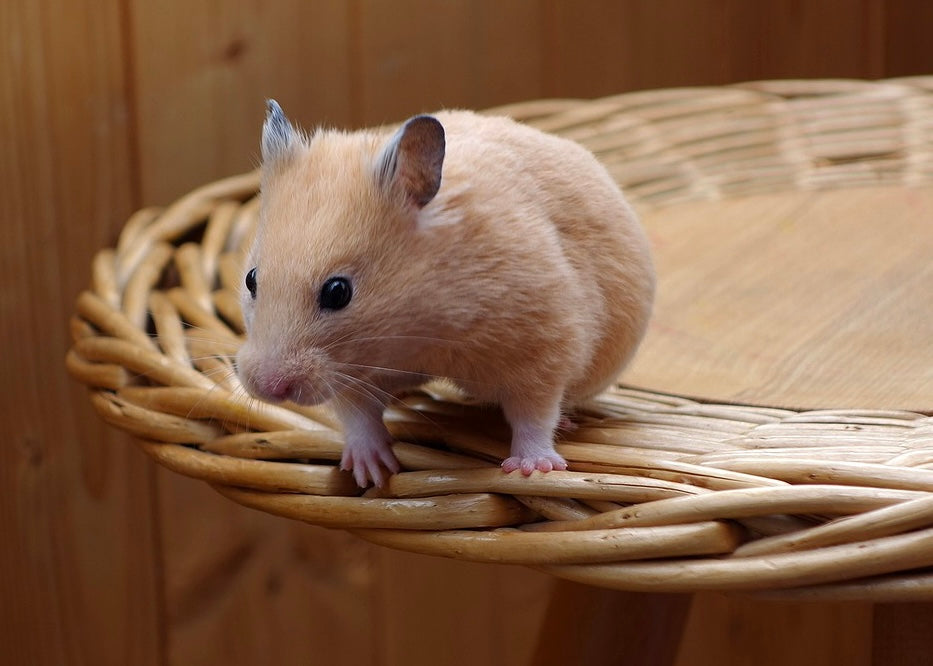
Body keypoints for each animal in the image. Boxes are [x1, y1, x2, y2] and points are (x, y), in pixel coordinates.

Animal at [236, 100, 655, 487]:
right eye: (251, 279)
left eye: (338, 292)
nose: (269, 389)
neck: (419, 329)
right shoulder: (350, 374)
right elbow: (358, 414)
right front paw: (372, 473)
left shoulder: (545, 345)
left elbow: (535, 412)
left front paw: (531, 469)